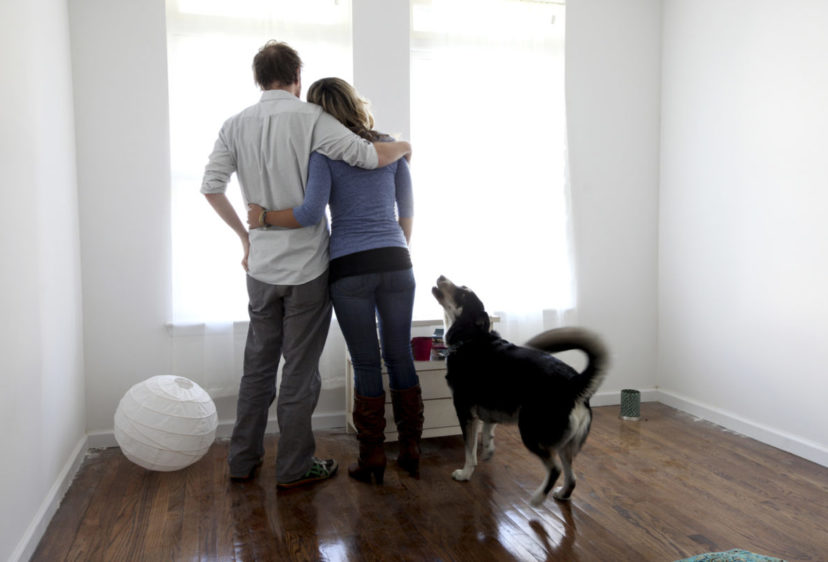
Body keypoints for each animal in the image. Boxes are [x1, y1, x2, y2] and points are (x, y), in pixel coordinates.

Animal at [431, 275, 609, 506]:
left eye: (461, 293)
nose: (441, 277)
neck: (470, 338)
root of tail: (574, 384)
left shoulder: (464, 410)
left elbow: (469, 449)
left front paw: (465, 473)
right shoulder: (492, 406)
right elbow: (488, 429)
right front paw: (488, 450)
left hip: (531, 431)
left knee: (554, 468)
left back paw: (538, 498)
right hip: (565, 445)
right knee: (572, 477)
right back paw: (561, 494)